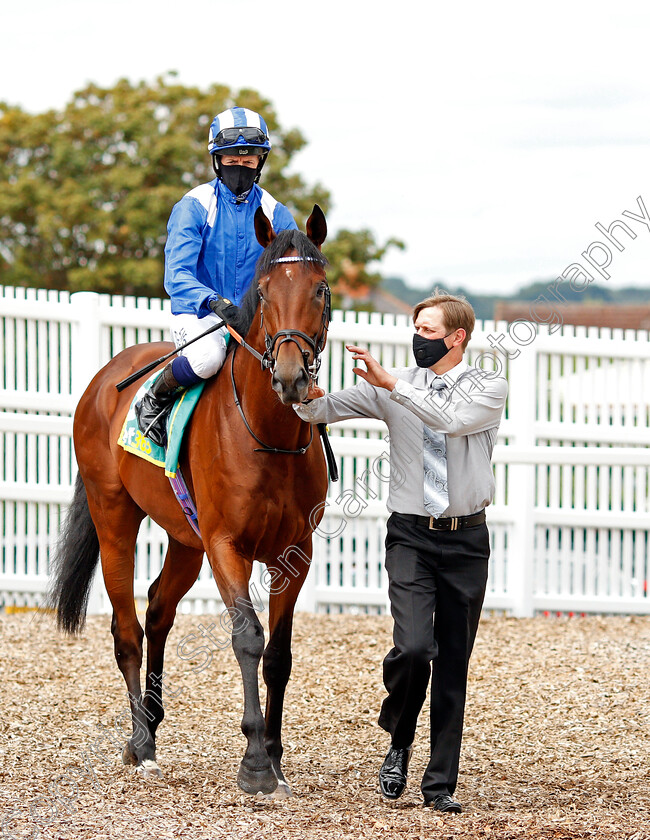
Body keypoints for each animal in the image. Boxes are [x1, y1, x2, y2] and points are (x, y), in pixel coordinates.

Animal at [50, 207, 332, 796]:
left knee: (158, 608)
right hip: (116, 520)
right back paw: (141, 743)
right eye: (264, 292)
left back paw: (152, 720)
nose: (291, 378)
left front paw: (275, 759)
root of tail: (104, 378)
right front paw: (254, 765)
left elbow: (279, 653)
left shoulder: (294, 553)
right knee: (128, 629)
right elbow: (247, 638)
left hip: (186, 538)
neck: (269, 436)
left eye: (319, 290)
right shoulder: (228, 544)